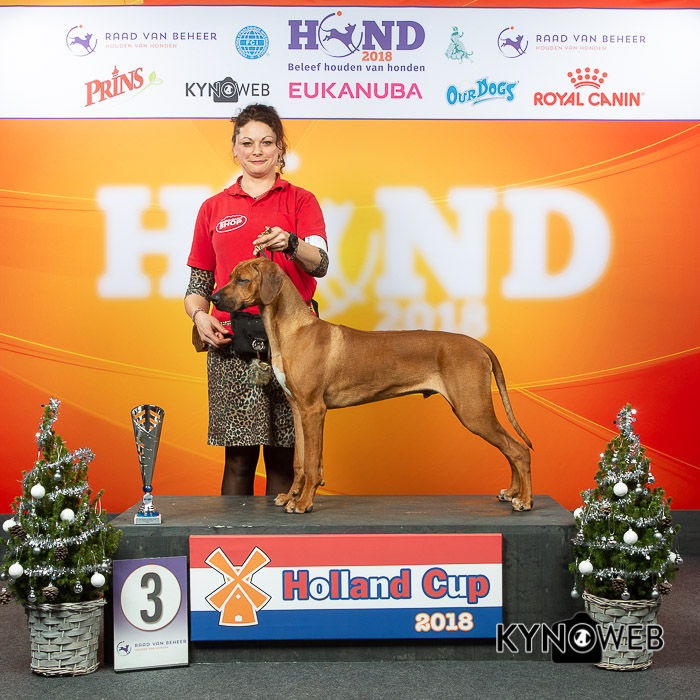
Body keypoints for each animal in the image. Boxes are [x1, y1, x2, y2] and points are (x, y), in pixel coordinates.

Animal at [210, 257, 533, 514]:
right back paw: (512, 492)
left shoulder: (314, 410)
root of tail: (480, 346)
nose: (213, 298)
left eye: (242, 280)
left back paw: (525, 500)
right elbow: (300, 462)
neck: (292, 330)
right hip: (474, 410)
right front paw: (291, 497)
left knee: (518, 449)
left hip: (473, 410)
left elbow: (313, 463)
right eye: (230, 276)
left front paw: (303, 503)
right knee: (510, 449)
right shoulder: (298, 409)